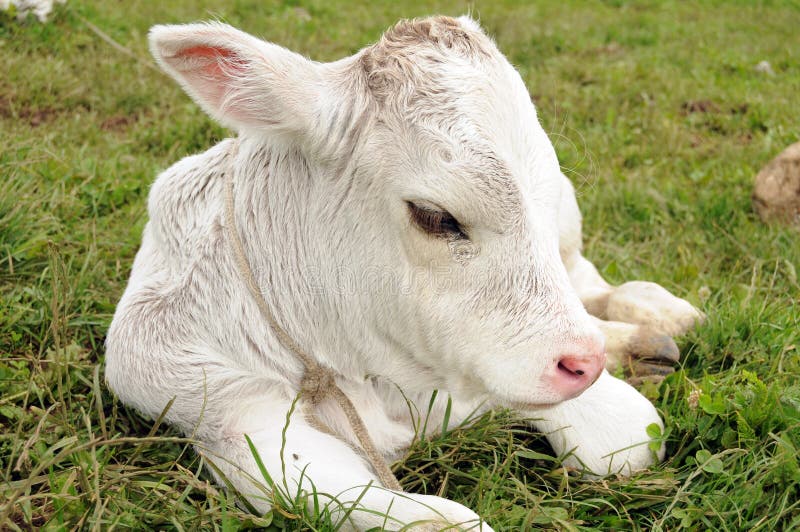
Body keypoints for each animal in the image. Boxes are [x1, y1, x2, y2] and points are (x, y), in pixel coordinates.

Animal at [105, 16, 703, 530]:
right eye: (435, 216)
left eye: (543, 191)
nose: (584, 363)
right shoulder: (229, 418)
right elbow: (436, 518)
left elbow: (625, 438)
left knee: (584, 275)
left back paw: (653, 319)